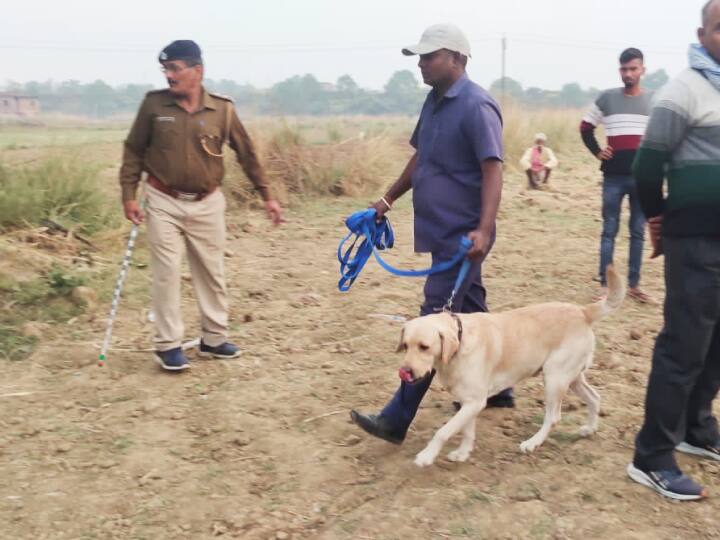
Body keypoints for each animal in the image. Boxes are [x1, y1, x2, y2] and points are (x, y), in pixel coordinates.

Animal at [396, 264, 628, 466]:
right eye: (406, 345)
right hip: (572, 378)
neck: (459, 345)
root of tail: (582, 312)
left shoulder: (475, 401)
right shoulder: (469, 400)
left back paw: (532, 443)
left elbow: (443, 431)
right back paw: (590, 429)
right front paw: (463, 453)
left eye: (424, 347)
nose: (405, 372)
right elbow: (467, 430)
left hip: (554, 378)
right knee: (595, 397)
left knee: (553, 417)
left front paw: (426, 456)